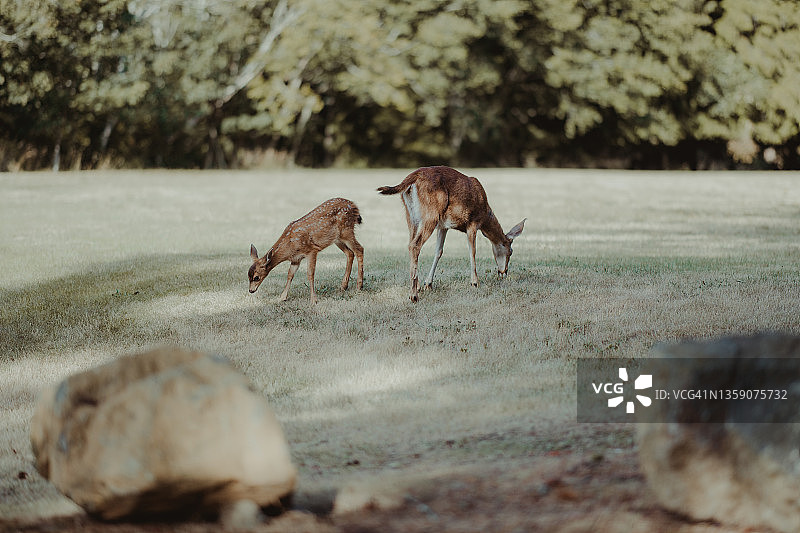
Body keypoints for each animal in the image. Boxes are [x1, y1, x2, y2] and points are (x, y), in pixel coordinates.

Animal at [378, 166, 525, 302]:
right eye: (510, 251)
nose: (504, 272)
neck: (485, 216)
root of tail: (411, 178)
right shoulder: (472, 223)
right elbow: (472, 251)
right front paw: (475, 283)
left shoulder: (443, 226)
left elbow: (439, 251)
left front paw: (428, 284)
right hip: (430, 214)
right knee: (415, 245)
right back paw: (413, 295)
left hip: (411, 216)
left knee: (410, 243)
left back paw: (417, 286)